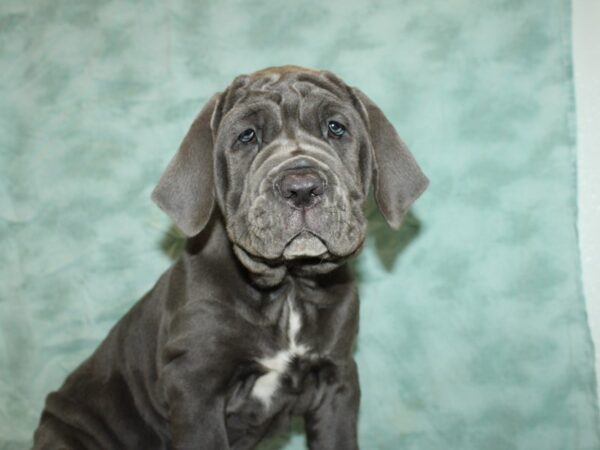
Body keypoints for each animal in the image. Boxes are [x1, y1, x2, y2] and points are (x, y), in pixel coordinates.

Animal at [31, 64, 426, 450]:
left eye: (335, 128)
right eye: (247, 137)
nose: (301, 187)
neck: (289, 289)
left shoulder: (337, 380)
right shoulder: (195, 386)